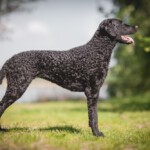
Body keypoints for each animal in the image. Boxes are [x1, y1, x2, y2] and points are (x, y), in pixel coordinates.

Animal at [0, 18, 138, 136]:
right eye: (121, 23)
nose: (137, 26)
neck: (96, 50)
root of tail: (9, 60)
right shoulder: (93, 90)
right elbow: (94, 116)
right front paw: (97, 134)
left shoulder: (95, 90)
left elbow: (92, 115)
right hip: (17, 87)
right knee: (1, 106)